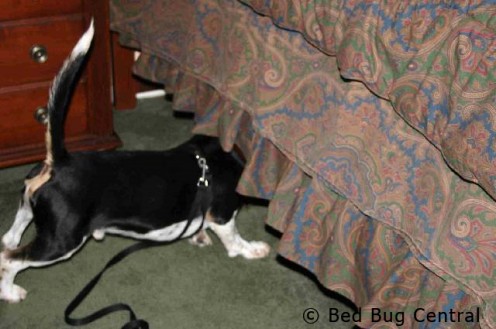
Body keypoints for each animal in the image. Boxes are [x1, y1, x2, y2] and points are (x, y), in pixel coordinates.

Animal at [0, 20, 270, 302]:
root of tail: (59, 162)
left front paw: (198, 236)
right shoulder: (223, 216)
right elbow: (236, 242)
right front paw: (254, 249)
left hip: (30, 214)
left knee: (8, 240)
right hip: (61, 240)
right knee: (8, 260)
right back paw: (9, 292)